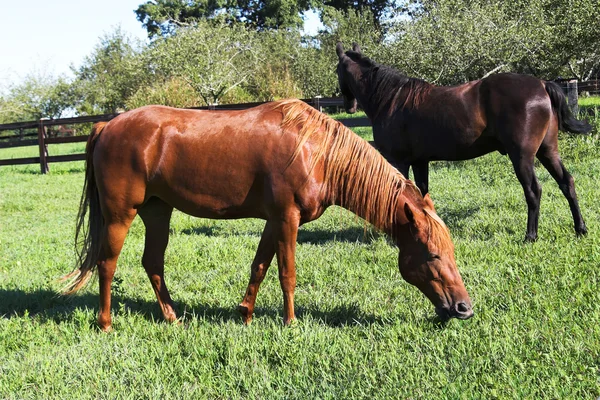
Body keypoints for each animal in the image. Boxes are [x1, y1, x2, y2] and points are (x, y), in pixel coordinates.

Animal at [62, 98, 474, 330]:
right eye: (432, 255)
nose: (463, 308)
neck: (316, 151)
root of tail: (107, 125)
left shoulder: (274, 221)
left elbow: (259, 266)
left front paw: (245, 314)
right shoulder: (287, 219)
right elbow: (287, 273)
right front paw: (290, 323)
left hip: (157, 212)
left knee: (152, 263)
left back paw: (172, 318)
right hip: (121, 215)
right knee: (107, 264)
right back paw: (106, 324)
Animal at [336, 41, 592, 241]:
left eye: (337, 70)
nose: (348, 106)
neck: (391, 99)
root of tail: (541, 84)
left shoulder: (399, 161)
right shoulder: (420, 161)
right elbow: (421, 194)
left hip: (522, 156)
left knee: (533, 191)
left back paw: (530, 236)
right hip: (547, 151)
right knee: (567, 183)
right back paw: (580, 229)